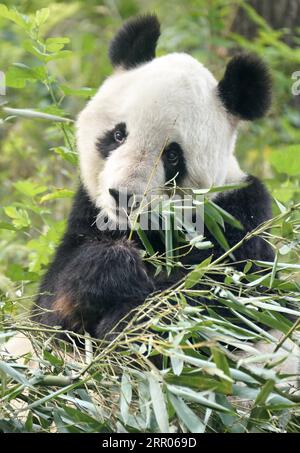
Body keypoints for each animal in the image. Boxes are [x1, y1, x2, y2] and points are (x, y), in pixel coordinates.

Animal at [33, 13, 276, 340]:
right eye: (118, 134)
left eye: (172, 155)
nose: (122, 196)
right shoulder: (86, 214)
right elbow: (49, 312)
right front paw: (111, 269)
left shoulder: (239, 221)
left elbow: (224, 306)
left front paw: (130, 320)